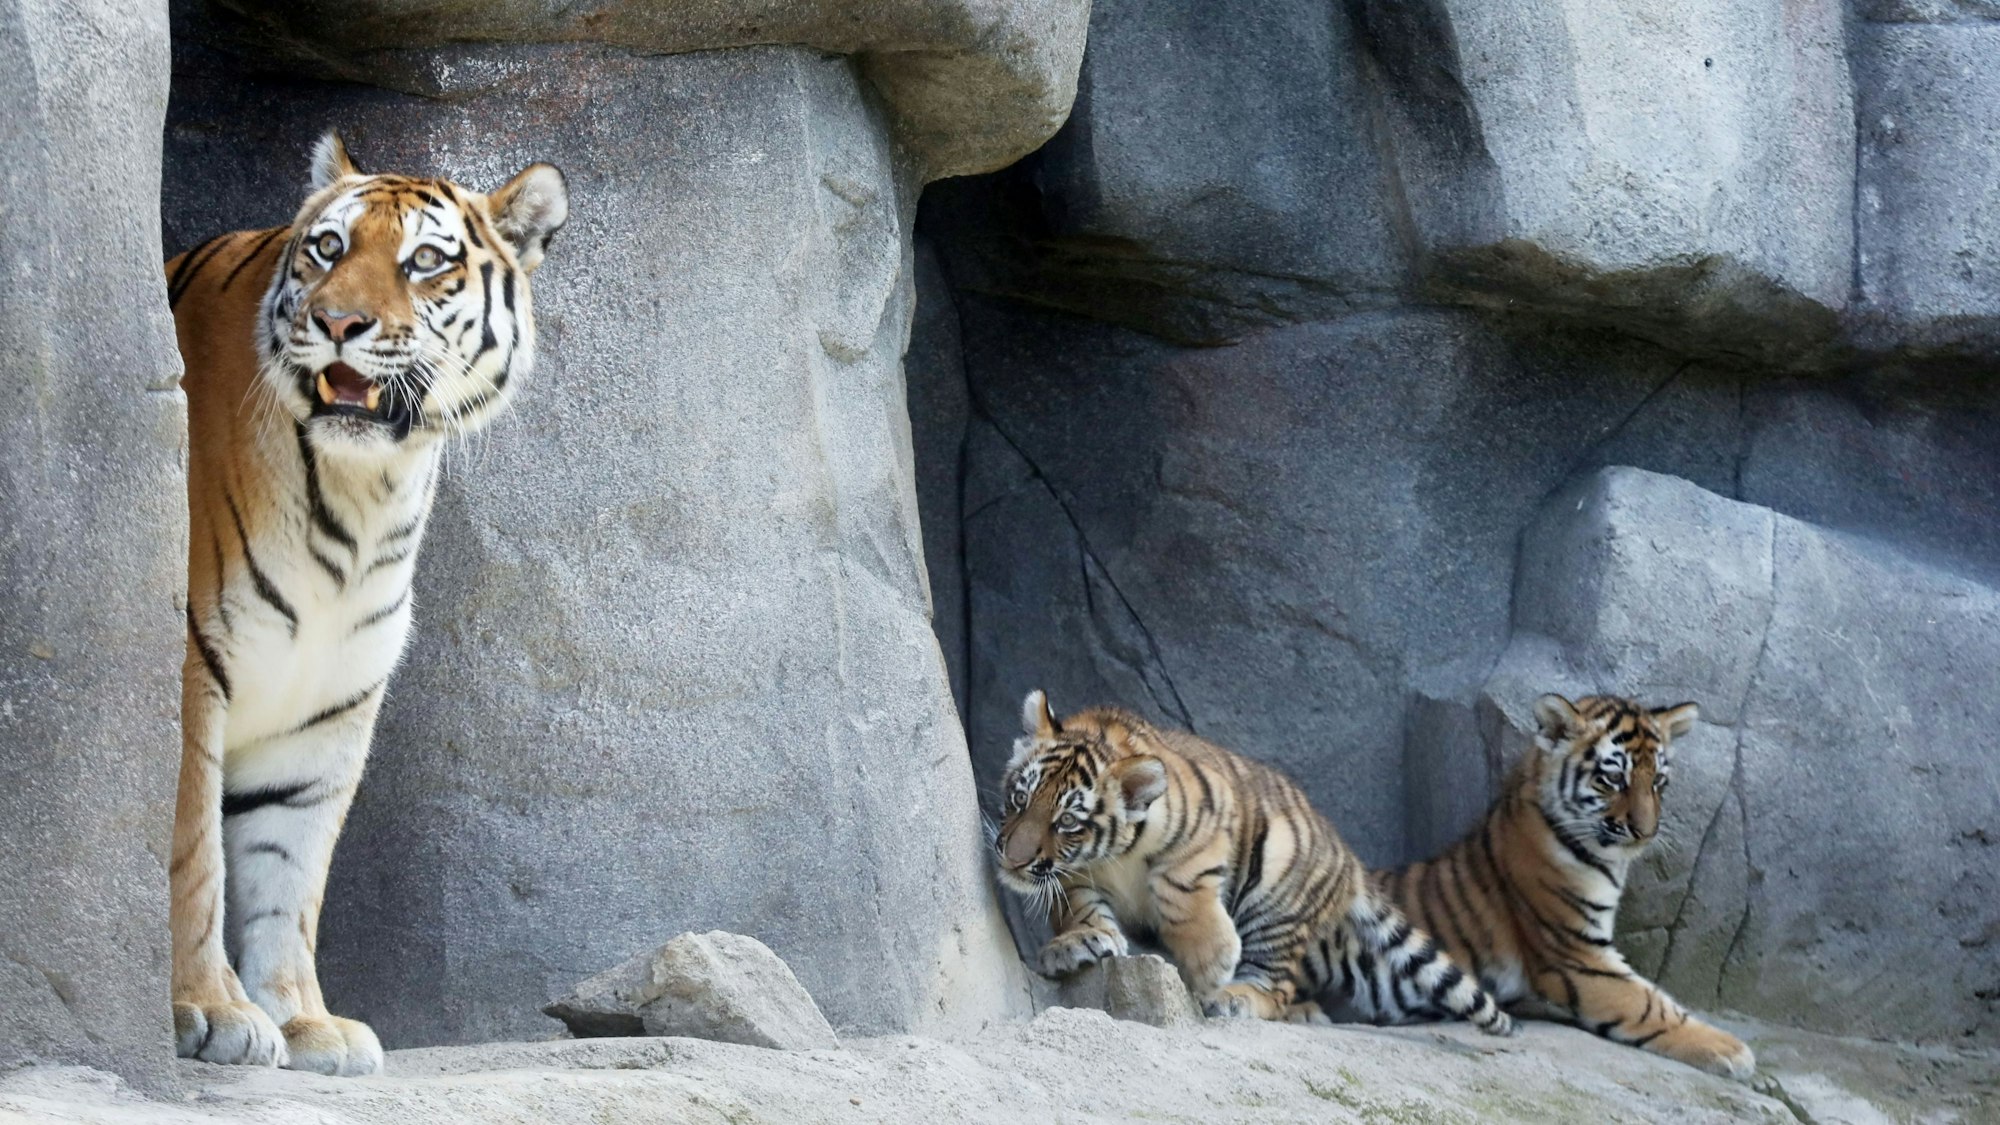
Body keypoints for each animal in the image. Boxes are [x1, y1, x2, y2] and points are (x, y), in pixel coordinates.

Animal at [164, 131, 567, 1075]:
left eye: (425, 261)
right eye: (327, 247)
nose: (338, 323)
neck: (361, 493)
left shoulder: (327, 707)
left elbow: (289, 873)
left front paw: (305, 1020)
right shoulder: (193, 666)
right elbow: (195, 855)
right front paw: (210, 1008)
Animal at [995, 691, 1513, 1035]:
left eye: (1067, 822)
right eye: (1020, 799)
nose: (1013, 861)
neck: (1110, 856)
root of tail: (1348, 859)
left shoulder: (1207, 824)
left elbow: (1181, 887)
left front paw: (1210, 966)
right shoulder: (1073, 874)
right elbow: (1080, 903)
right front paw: (1079, 943)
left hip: (1276, 897)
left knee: (1277, 985)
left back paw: (1235, 997)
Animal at [1362, 692, 1757, 1080]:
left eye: (1658, 780)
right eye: (1614, 778)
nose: (1645, 833)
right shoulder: (1577, 956)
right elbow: (1652, 1005)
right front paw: (1731, 1050)